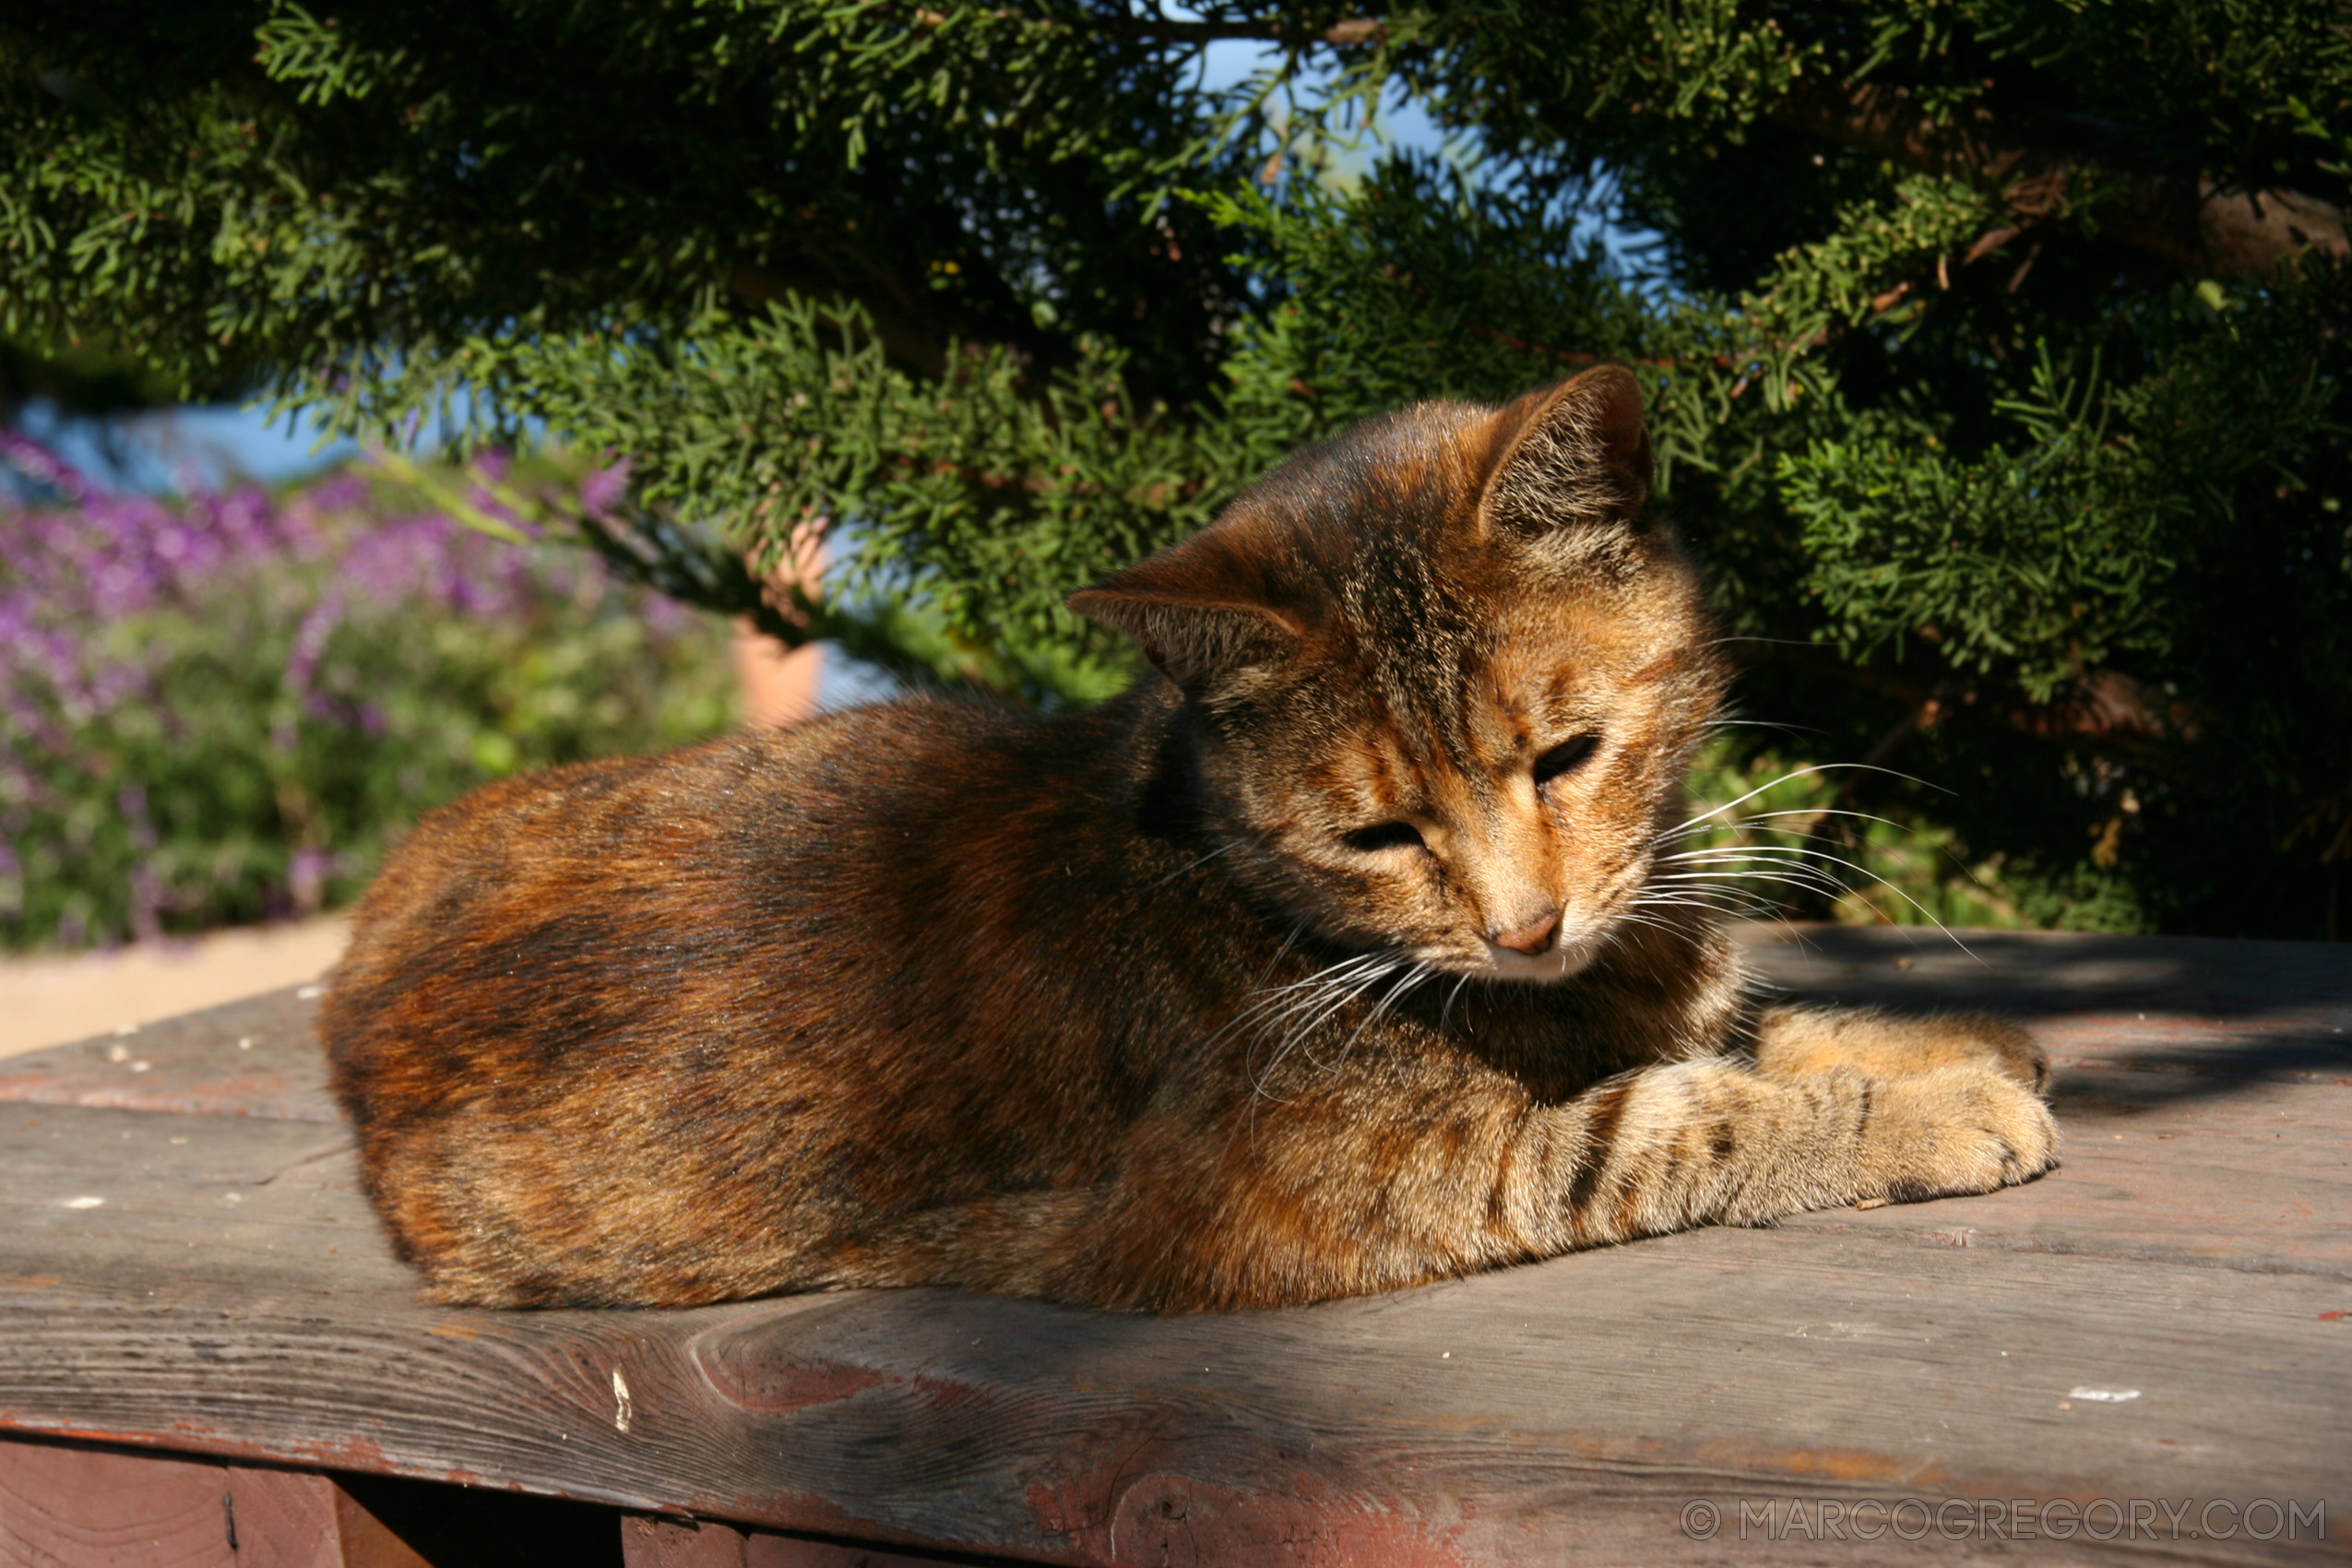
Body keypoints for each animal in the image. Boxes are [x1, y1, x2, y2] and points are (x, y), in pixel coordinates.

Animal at [327, 369, 2060, 1316]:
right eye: (1379, 830)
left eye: (1566, 756)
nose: (1524, 930)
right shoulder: (1313, 1186)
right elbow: (1666, 1122)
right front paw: (1924, 1106)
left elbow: (1745, 1030)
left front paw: (1944, 1040)